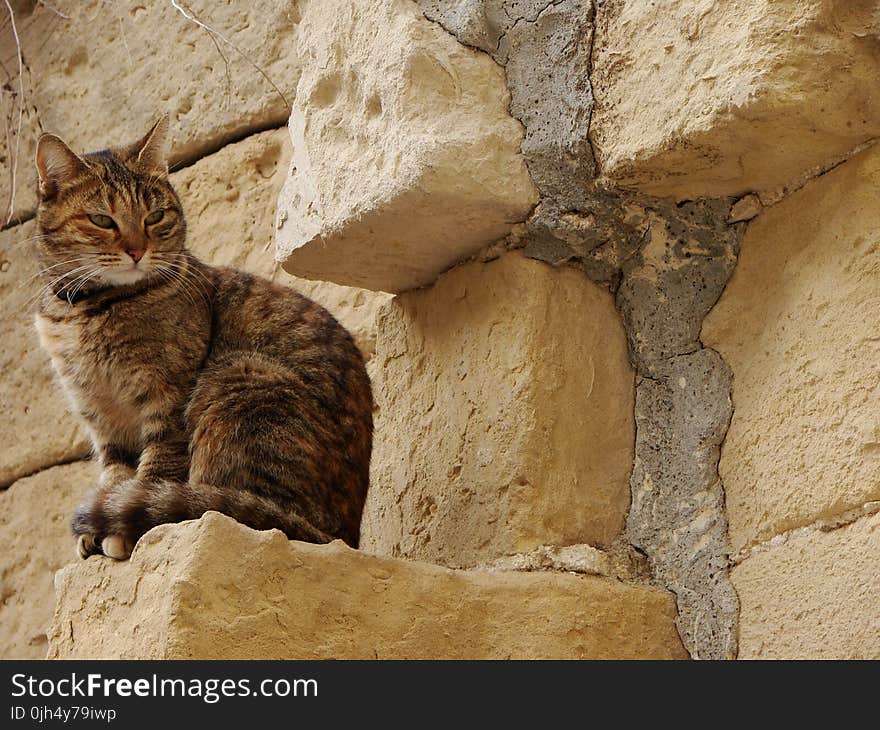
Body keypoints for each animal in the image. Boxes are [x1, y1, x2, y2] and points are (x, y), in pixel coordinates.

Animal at [31, 118, 372, 556]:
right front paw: (100, 523)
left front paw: (123, 528)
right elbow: (116, 473)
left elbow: (155, 468)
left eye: (155, 216)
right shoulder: (101, 416)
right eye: (102, 220)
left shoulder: (168, 396)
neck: (89, 309)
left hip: (240, 377)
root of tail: (343, 537)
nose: (137, 250)